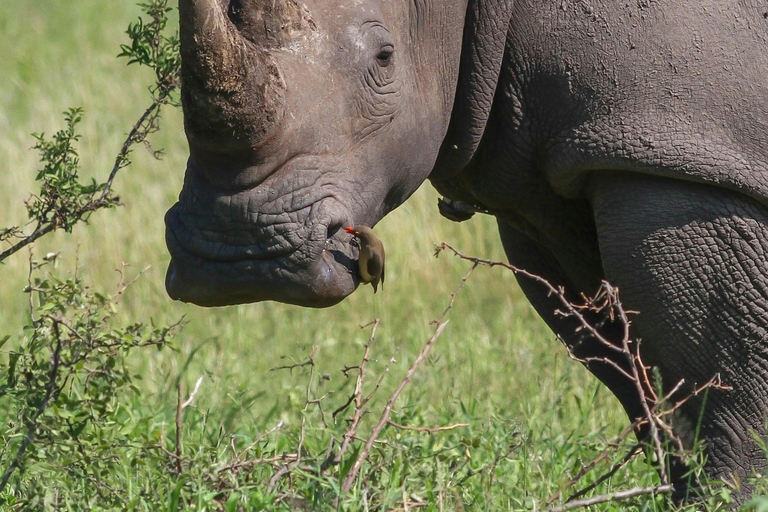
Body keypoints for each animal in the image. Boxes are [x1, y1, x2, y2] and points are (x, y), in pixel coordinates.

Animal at [165, 0, 768, 502]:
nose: (239, 257)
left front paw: (730, 497)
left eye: (385, 58)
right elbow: (630, 374)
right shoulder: (543, 195)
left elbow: (726, 394)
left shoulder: (681, 159)